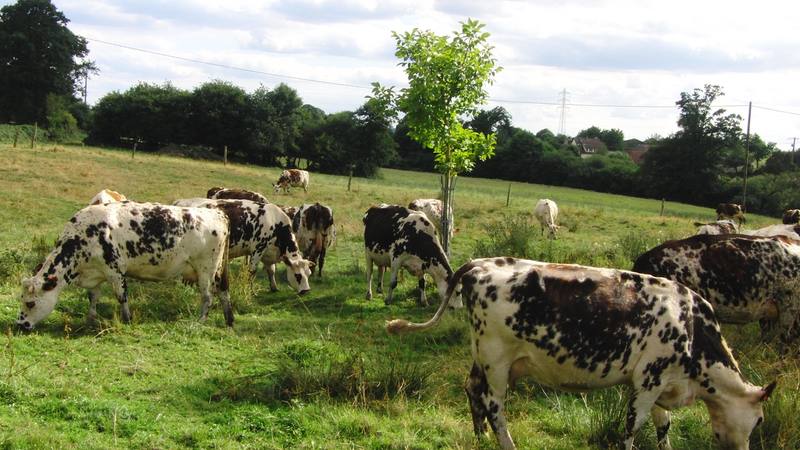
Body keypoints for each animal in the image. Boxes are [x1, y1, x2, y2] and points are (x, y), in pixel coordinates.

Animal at [17, 202, 233, 330]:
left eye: (31, 303)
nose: (20, 323)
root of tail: (218, 213)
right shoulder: (95, 273)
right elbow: (93, 297)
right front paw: (90, 318)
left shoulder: (115, 271)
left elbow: (121, 296)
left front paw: (127, 319)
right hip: (217, 271)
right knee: (223, 291)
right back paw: (229, 321)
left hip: (206, 269)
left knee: (208, 297)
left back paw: (200, 321)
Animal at [172, 198, 313, 293]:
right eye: (298, 275)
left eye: (309, 273)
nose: (306, 291)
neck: (276, 223)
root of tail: (180, 202)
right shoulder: (258, 249)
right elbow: (252, 271)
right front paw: (250, 291)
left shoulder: (268, 253)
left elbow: (271, 271)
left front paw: (274, 287)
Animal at [387, 257, 776, 450]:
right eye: (759, 421)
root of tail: (479, 264)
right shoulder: (649, 380)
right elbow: (633, 426)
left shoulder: (661, 384)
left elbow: (663, 426)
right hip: (497, 360)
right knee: (495, 406)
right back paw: (507, 444)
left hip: (482, 355)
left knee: (472, 389)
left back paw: (480, 437)